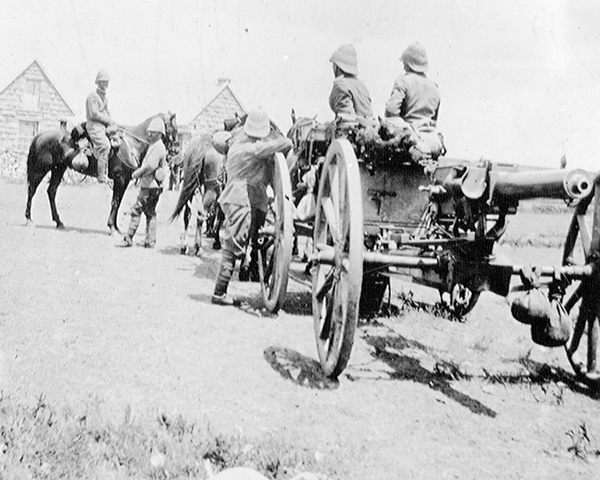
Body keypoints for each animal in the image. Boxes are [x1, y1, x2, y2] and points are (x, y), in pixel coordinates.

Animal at [25, 112, 177, 232]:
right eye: (174, 129)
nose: (176, 151)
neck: (132, 145)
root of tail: (41, 136)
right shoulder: (120, 179)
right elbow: (115, 202)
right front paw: (112, 227)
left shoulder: (124, 181)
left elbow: (118, 202)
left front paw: (115, 227)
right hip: (40, 169)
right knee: (32, 190)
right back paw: (29, 219)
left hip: (58, 169)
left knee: (51, 191)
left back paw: (59, 222)